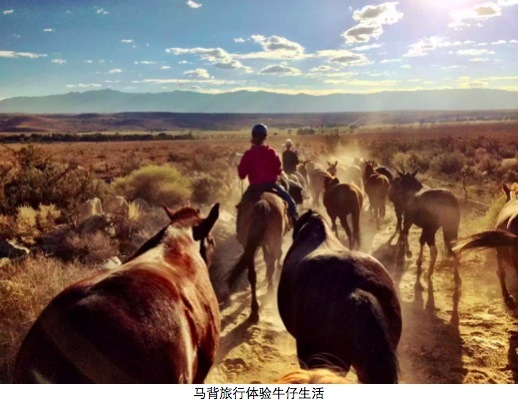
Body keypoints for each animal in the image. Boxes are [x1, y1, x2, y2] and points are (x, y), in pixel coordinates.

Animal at [229, 191, 290, 322]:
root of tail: (263, 202)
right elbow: (272, 259)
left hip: (249, 244)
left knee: (252, 275)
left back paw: (254, 311)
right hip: (273, 240)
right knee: (272, 262)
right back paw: (270, 289)